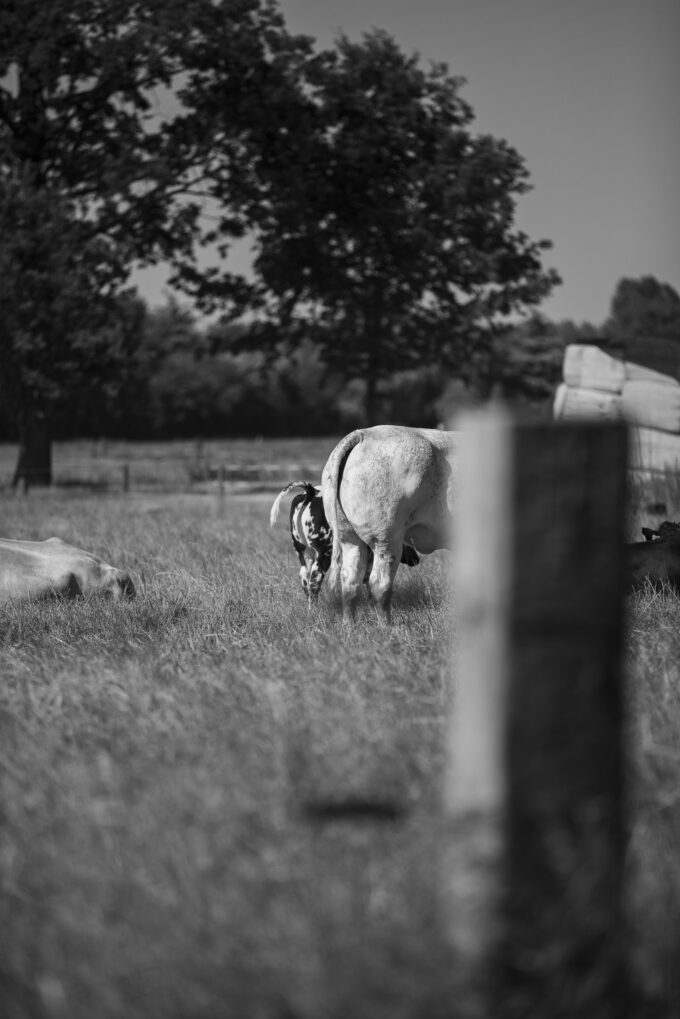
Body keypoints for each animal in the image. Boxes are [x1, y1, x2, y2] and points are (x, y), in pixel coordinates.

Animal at [269, 478, 417, 603]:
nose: (416, 559)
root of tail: (312, 492)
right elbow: (370, 579)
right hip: (324, 552)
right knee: (314, 579)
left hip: (303, 551)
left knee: (304, 576)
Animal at [322, 421, 460, 619]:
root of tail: (364, 434)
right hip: (386, 538)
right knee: (379, 584)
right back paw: (388, 625)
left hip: (348, 537)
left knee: (350, 582)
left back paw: (349, 625)